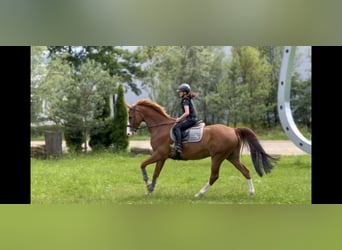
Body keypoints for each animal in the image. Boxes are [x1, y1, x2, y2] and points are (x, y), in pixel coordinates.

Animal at [127, 98, 276, 198]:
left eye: (130, 116)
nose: (129, 134)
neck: (160, 128)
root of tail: (234, 130)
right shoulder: (162, 157)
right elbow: (156, 173)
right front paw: (150, 189)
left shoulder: (159, 154)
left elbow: (143, 164)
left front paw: (147, 183)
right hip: (231, 156)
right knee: (245, 171)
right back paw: (251, 193)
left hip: (218, 157)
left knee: (214, 176)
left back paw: (199, 194)